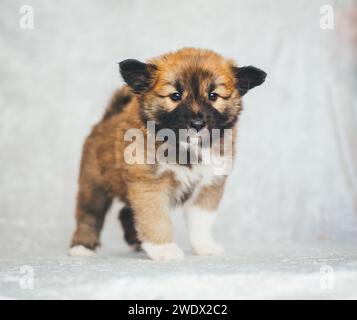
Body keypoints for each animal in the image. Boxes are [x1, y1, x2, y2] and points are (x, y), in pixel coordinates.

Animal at [69, 48, 264, 262]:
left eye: (213, 95)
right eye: (175, 96)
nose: (197, 124)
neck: (186, 147)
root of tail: (106, 119)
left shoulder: (208, 185)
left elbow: (201, 221)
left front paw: (204, 246)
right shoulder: (150, 184)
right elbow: (156, 218)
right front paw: (164, 248)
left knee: (125, 213)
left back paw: (136, 242)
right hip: (93, 184)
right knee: (89, 214)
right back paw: (82, 246)